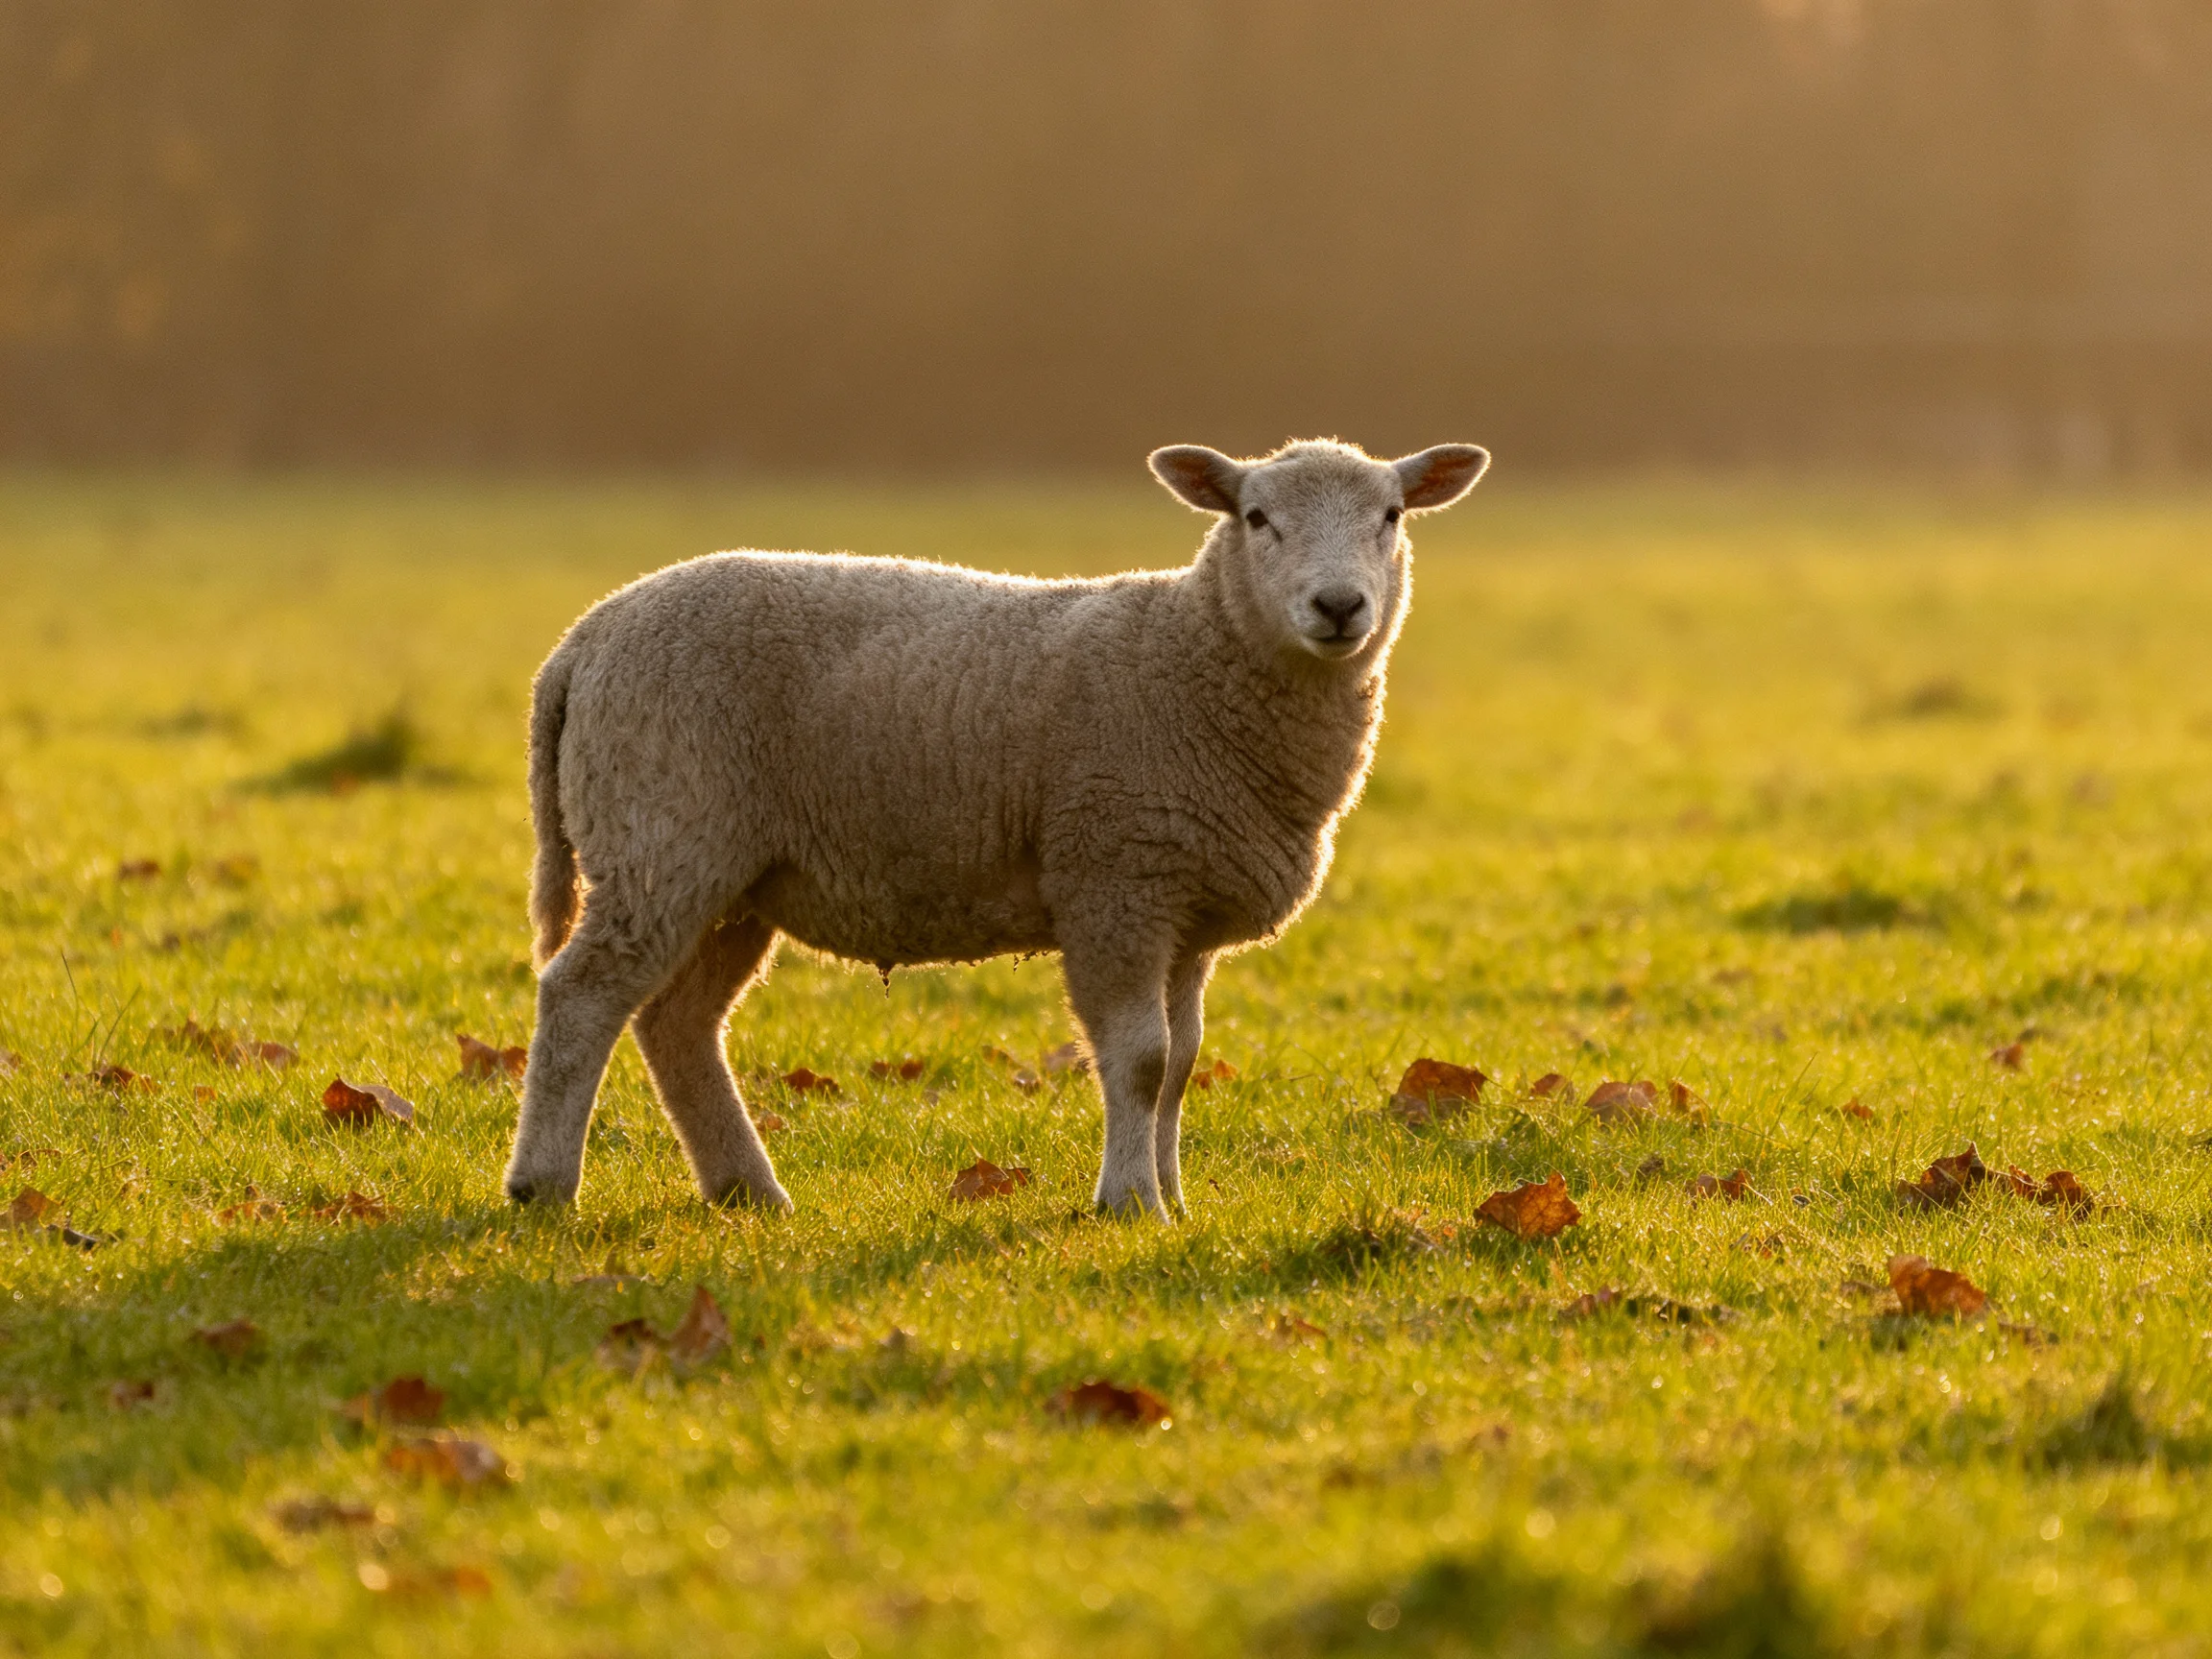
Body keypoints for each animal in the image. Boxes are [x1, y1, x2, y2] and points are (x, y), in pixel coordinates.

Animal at [503, 437, 1490, 1217]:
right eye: (1256, 517)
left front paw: (1174, 1201)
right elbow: (1139, 1059)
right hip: (661, 831)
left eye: (1392, 515)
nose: (1339, 606)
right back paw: (543, 1186)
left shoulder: (1183, 908)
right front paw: (1128, 1203)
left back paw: (748, 1190)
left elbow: (1181, 1066)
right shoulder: (1113, 880)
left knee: (677, 1023)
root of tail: (582, 640)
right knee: (583, 994)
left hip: (732, 876)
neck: (1192, 655)